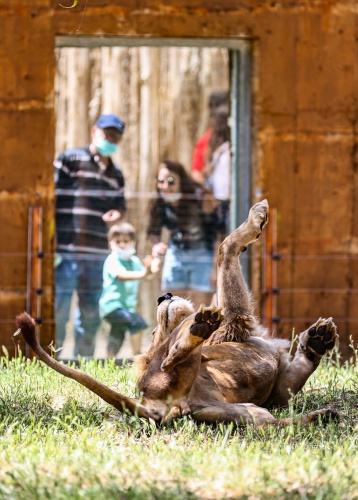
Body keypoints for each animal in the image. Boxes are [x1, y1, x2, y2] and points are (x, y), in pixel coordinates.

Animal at [15, 199, 338, 426]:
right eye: (154, 332)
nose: (164, 295)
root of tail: (149, 403)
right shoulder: (236, 319)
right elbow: (225, 248)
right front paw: (256, 218)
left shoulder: (278, 392)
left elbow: (297, 374)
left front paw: (318, 340)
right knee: (170, 359)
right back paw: (198, 328)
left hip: (246, 412)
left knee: (273, 424)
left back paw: (322, 415)